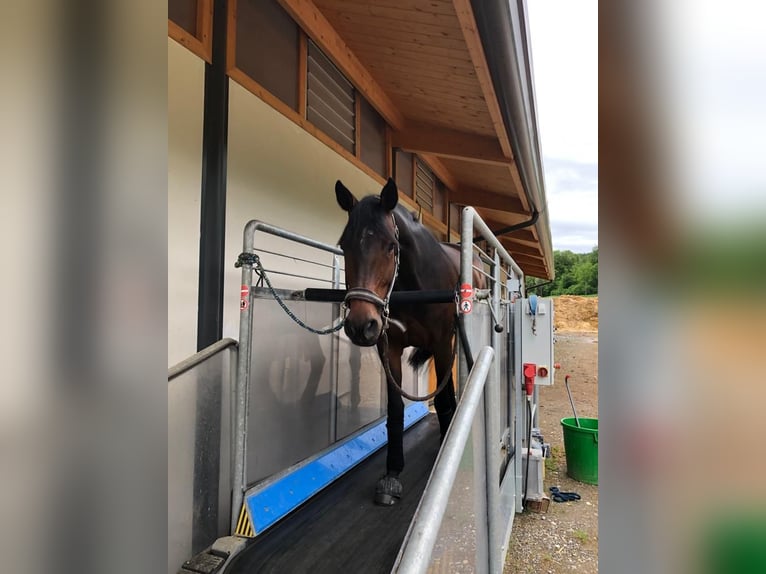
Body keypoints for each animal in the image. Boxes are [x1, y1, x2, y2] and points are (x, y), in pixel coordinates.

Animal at [336, 178, 486, 506]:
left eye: (391, 246)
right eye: (343, 245)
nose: (360, 324)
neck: (415, 285)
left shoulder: (442, 342)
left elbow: (442, 399)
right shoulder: (389, 347)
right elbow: (395, 409)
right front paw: (392, 473)